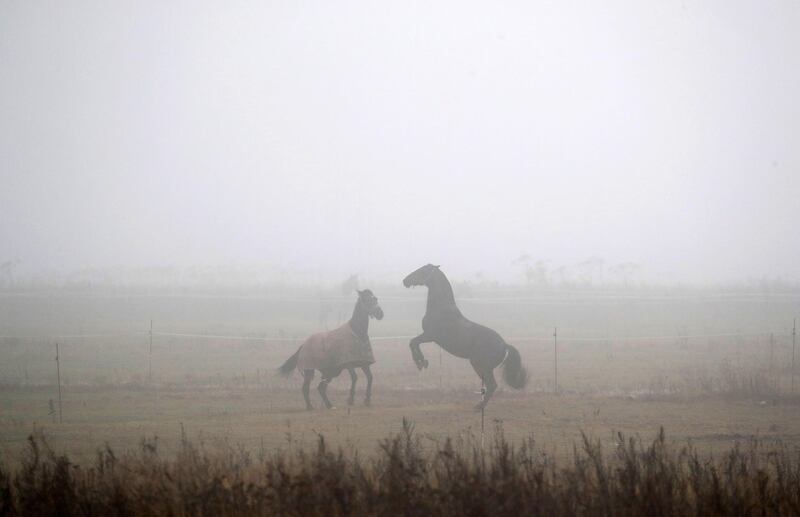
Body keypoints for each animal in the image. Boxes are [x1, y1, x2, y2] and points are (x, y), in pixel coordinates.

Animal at [404, 264, 528, 410]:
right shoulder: (429, 336)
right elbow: (413, 343)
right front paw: (422, 362)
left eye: (422, 270)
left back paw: (478, 407)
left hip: (481, 366)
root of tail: (504, 345)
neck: (441, 309)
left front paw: (421, 362)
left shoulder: (430, 336)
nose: (405, 281)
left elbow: (413, 343)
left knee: (492, 385)